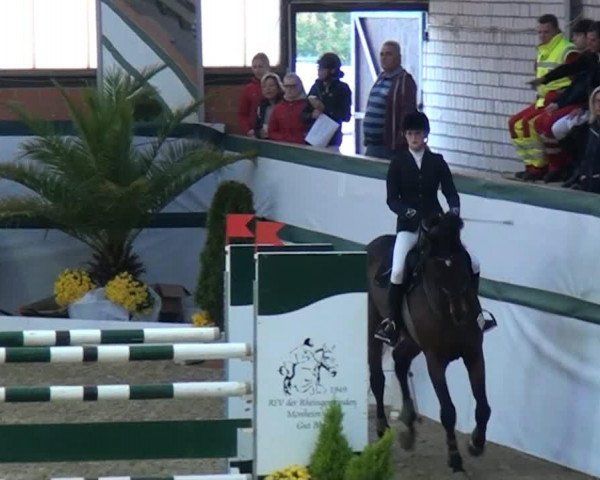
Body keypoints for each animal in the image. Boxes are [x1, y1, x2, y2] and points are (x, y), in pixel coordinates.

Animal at [368, 213, 490, 472]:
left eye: (462, 262)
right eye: (434, 268)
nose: (460, 313)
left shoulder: (474, 353)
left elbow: (484, 406)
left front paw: (476, 443)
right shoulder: (435, 360)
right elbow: (448, 411)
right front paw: (455, 457)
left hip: (413, 341)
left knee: (400, 360)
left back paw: (408, 422)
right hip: (373, 320)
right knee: (377, 377)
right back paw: (383, 428)